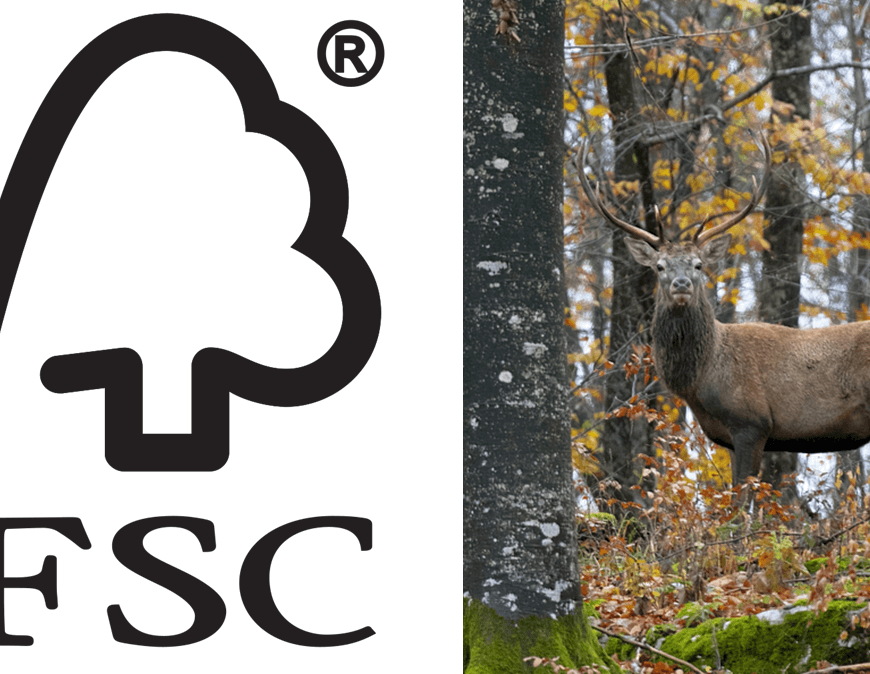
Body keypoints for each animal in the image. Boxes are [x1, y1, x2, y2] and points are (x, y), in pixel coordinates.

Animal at [579, 134, 870, 485]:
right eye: (660, 266)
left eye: (698, 264)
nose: (681, 284)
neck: (704, 373)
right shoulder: (729, 437)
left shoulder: (752, 422)